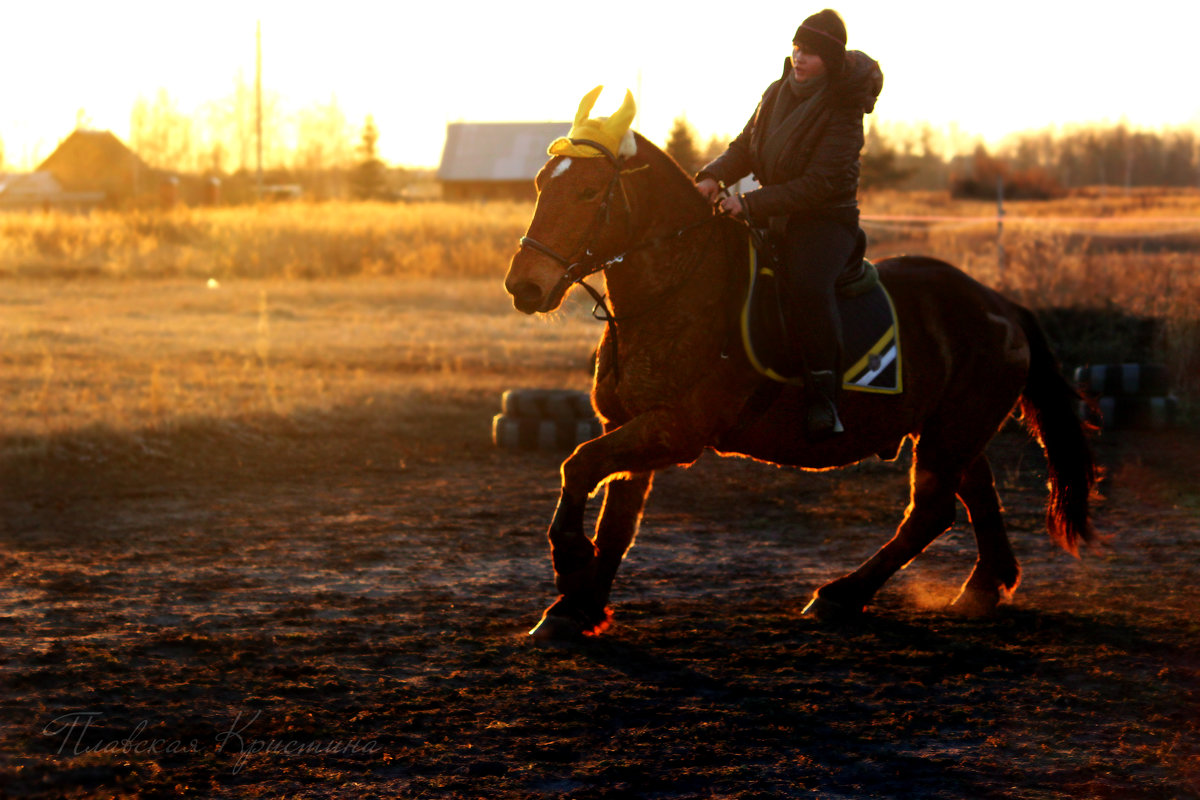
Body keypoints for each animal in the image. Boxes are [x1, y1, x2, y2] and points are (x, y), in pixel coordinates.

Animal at [504, 107, 1099, 642]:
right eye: (541, 183)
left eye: (587, 193)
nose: (524, 286)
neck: (677, 289)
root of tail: (1001, 305)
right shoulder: (627, 425)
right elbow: (617, 523)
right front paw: (575, 607)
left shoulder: (676, 430)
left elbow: (579, 466)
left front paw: (570, 562)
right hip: (952, 428)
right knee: (977, 495)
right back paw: (982, 587)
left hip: (953, 431)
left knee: (931, 512)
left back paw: (841, 595)